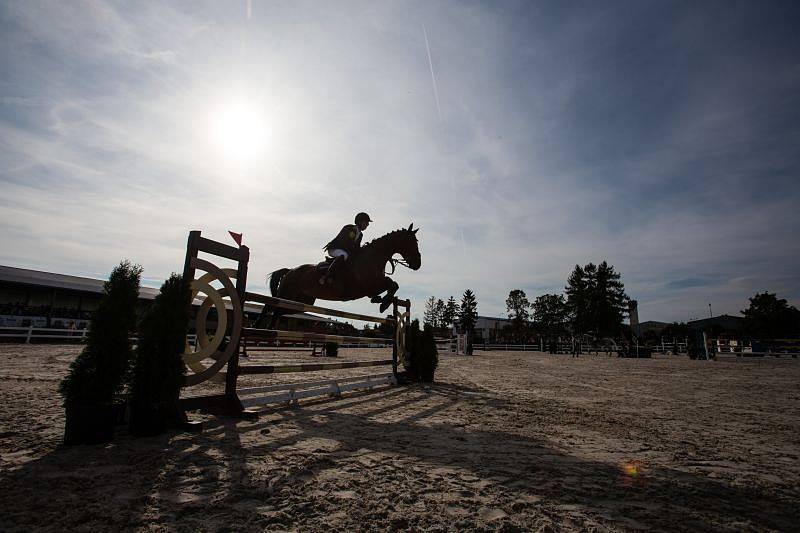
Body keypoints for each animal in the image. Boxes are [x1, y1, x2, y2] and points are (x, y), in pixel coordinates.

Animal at [256, 222, 422, 326]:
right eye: (412, 243)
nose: (418, 264)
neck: (373, 257)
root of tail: (290, 270)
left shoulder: (371, 288)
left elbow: (392, 285)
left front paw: (382, 302)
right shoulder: (367, 286)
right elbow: (391, 283)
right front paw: (384, 303)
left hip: (302, 302)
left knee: (278, 312)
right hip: (286, 293)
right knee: (269, 306)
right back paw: (258, 327)